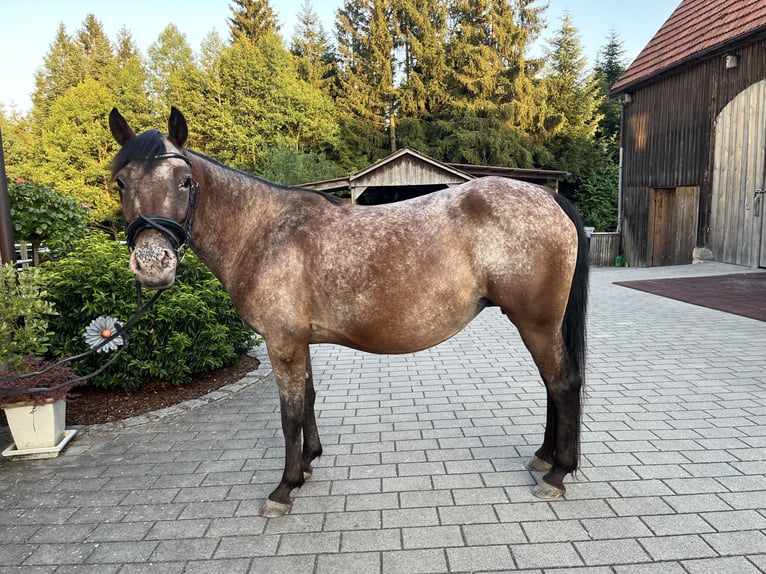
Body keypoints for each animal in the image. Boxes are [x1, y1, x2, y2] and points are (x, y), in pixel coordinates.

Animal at [108, 107, 589, 518]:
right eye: (121, 183)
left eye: (185, 181)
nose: (152, 264)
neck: (262, 231)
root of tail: (546, 196)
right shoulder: (298, 342)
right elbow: (307, 400)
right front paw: (307, 464)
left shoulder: (282, 342)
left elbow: (289, 414)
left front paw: (284, 488)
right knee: (553, 386)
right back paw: (544, 458)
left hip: (536, 323)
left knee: (562, 384)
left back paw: (557, 474)